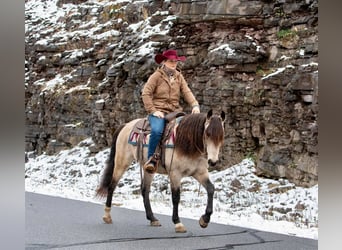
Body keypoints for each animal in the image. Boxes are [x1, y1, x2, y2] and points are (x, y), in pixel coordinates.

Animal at [95, 109, 226, 232]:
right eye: (207, 133)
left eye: (222, 136)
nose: (213, 161)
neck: (186, 144)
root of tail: (126, 125)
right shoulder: (175, 174)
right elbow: (176, 197)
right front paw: (178, 223)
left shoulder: (200, 173)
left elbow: (211, 189)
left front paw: (205, 219)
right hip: (121, 162)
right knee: (112, 186)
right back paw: (107, 216)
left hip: (148, 169)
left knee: (145, 190)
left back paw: (152, 218)